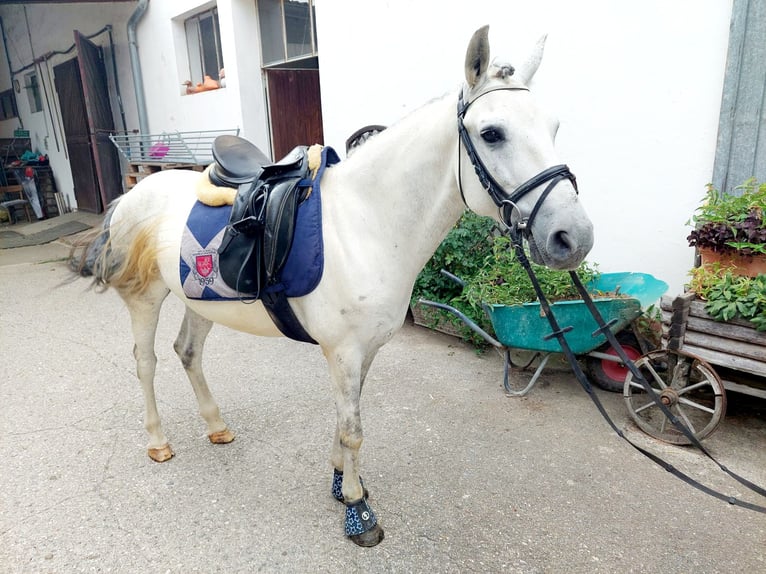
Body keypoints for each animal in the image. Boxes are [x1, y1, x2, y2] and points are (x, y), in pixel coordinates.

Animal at [72, 25, 596, 548]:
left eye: (553, 127)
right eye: (491, 133)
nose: (572, 237)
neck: (367, 222)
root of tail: (133, 194)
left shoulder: (364, 351)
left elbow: (345, 420)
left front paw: (341, 483)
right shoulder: (342, 350)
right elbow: (354, 430)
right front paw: (358, 511)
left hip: (200, 300)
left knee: (187, 352)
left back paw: (217, 426)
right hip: (146, 299)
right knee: (145, 362)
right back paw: (158, 441)